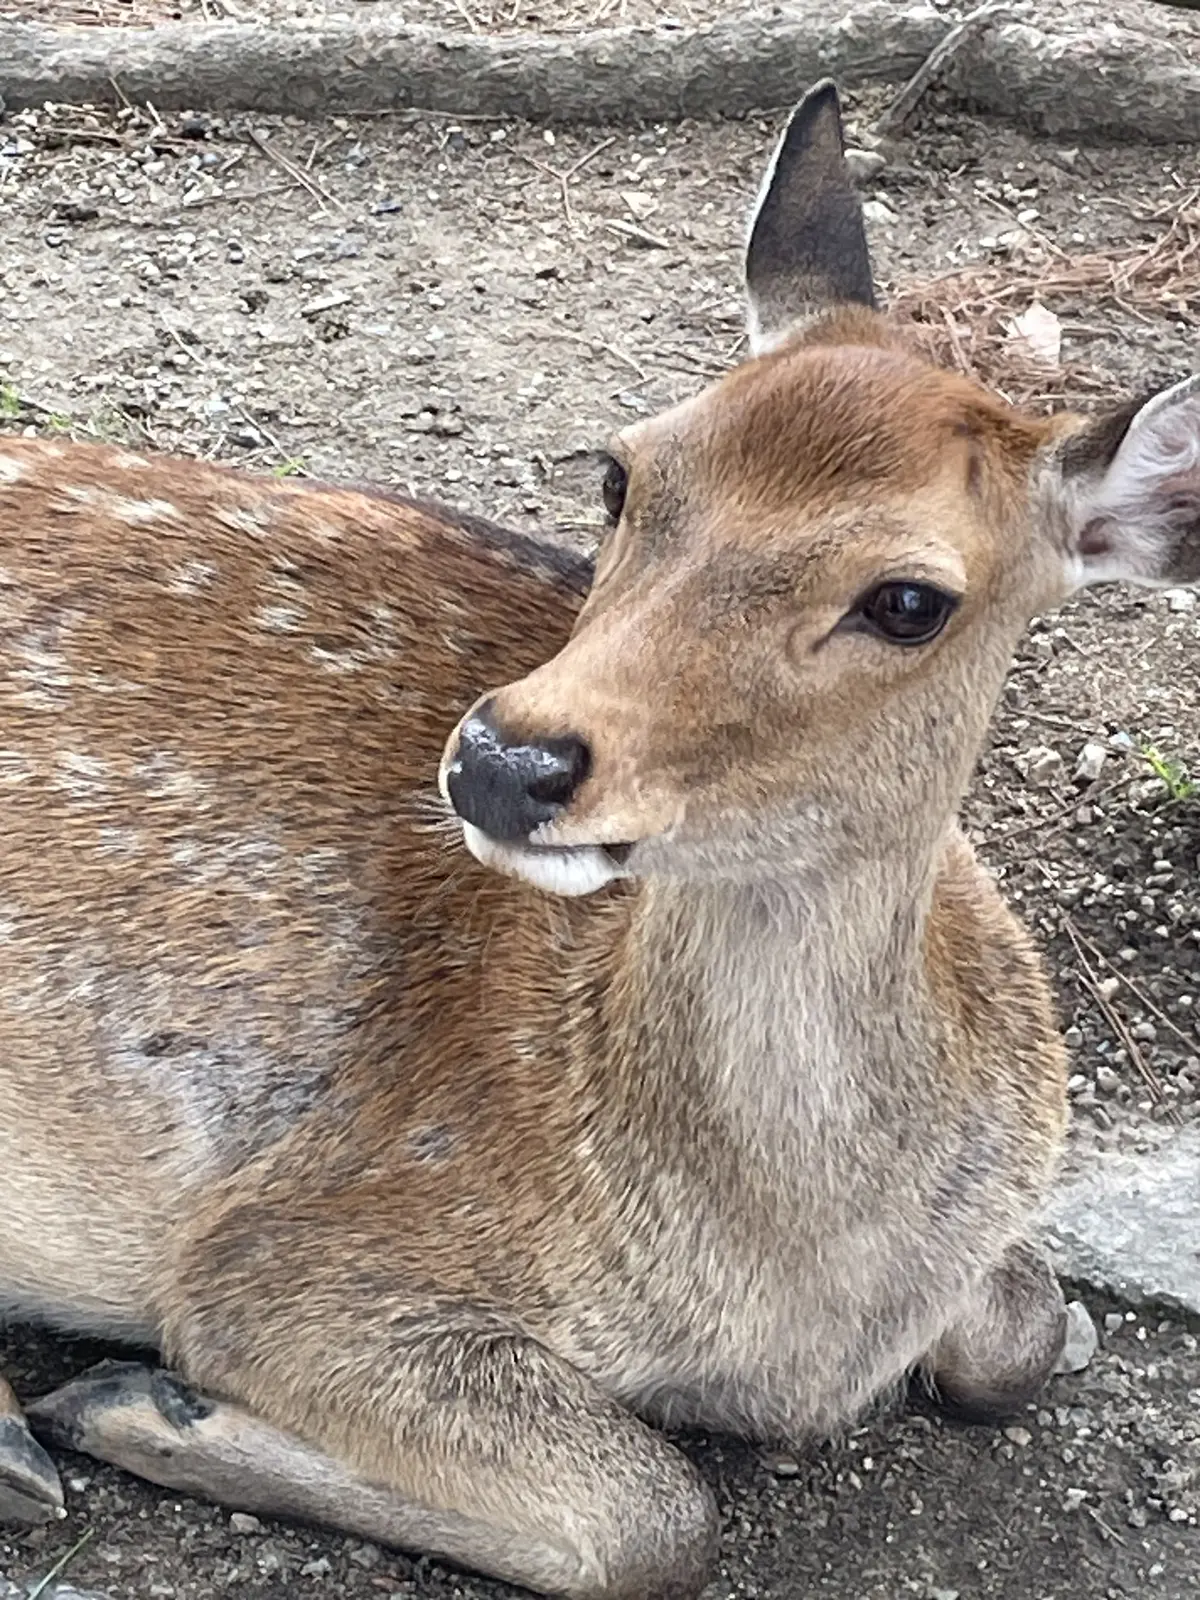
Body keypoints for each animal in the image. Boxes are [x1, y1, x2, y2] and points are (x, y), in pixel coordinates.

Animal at [0, 79, 1198, 1600]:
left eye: (911, 600)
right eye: (622, 471)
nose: (507, 759)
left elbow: (1024, 1332)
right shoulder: (277, 1253)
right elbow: (651, 1516)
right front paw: (141, 1398)